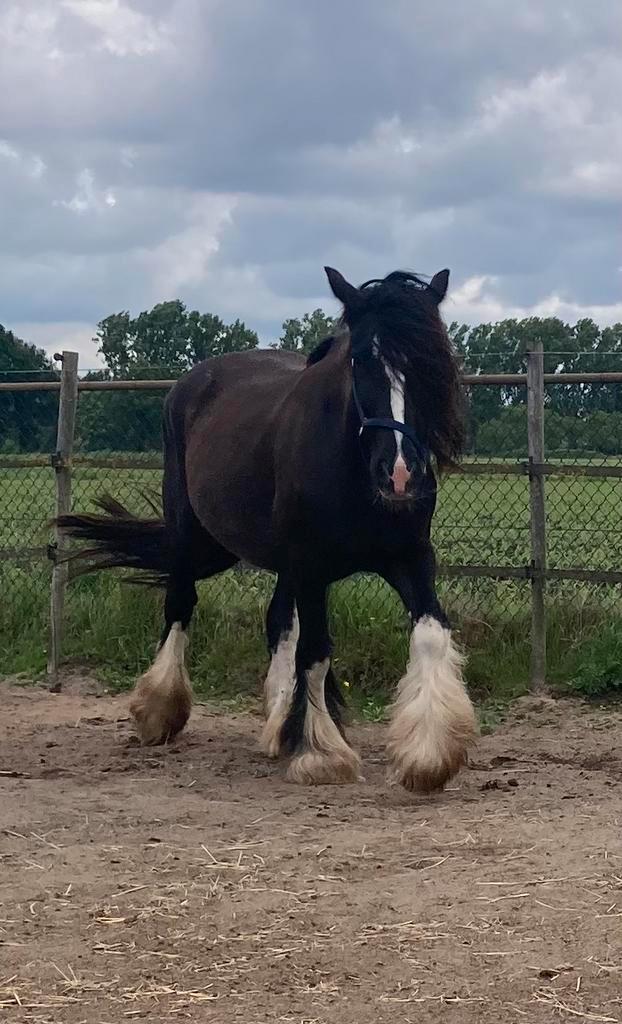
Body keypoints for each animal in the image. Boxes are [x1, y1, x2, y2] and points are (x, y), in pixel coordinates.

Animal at [59, 266, 478, 792]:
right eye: (360, 360)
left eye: (431, 362)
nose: (401, 474)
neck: (353, 471)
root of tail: (189, 382)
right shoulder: (311, 565)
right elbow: (316, 650)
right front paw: (322, 754)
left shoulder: (410, 556)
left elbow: (430, 633)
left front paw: (428, 756)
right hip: (189, 532)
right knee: (181, 603)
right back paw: (159, 711)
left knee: (278, 622)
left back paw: (280, 725)